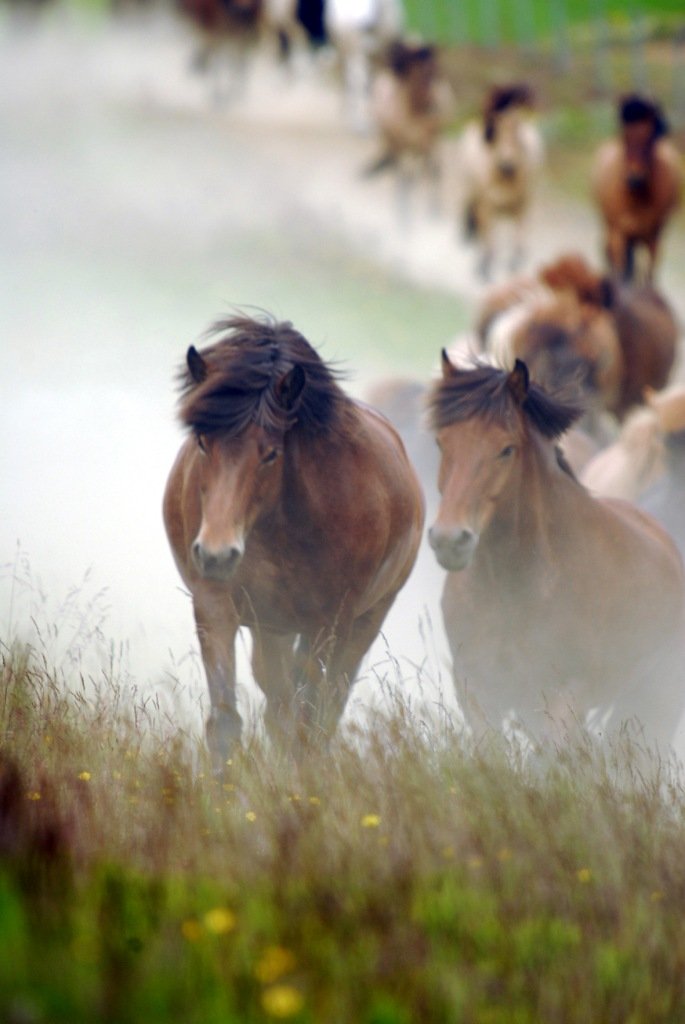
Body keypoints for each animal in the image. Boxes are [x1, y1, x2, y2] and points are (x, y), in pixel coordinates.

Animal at [163, 314, 425, 766]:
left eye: (270, 453)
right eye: (201, 441)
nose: (217, 554)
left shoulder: (326, 623)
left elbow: (309, 721)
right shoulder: (214, 604)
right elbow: (227, 721)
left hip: (362, 623)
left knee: (324, 706)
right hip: (272, 629)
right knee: (281, 704)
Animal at [426, 355, 685, 755]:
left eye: (506, 448)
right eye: (443, 442)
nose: (450, 540)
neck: (513, 591)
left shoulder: (566, 697)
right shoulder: (478, 692)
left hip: (654, 704)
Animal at [458, 83, 544, 280]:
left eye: (518, 129)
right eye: (495, 128)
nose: (507, 163)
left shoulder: (522, 205)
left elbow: (518, 239)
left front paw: (515, 264)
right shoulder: (486, 207)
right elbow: (489, 240)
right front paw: (484, 269)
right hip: (470, 192)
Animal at [592, 93, 682, 282]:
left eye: (649, 138)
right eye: (624, 136)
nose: (635, 178)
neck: (637, 197)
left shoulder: (653, 237)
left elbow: (649, 275)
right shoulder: (619, 235)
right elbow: (620, 272)